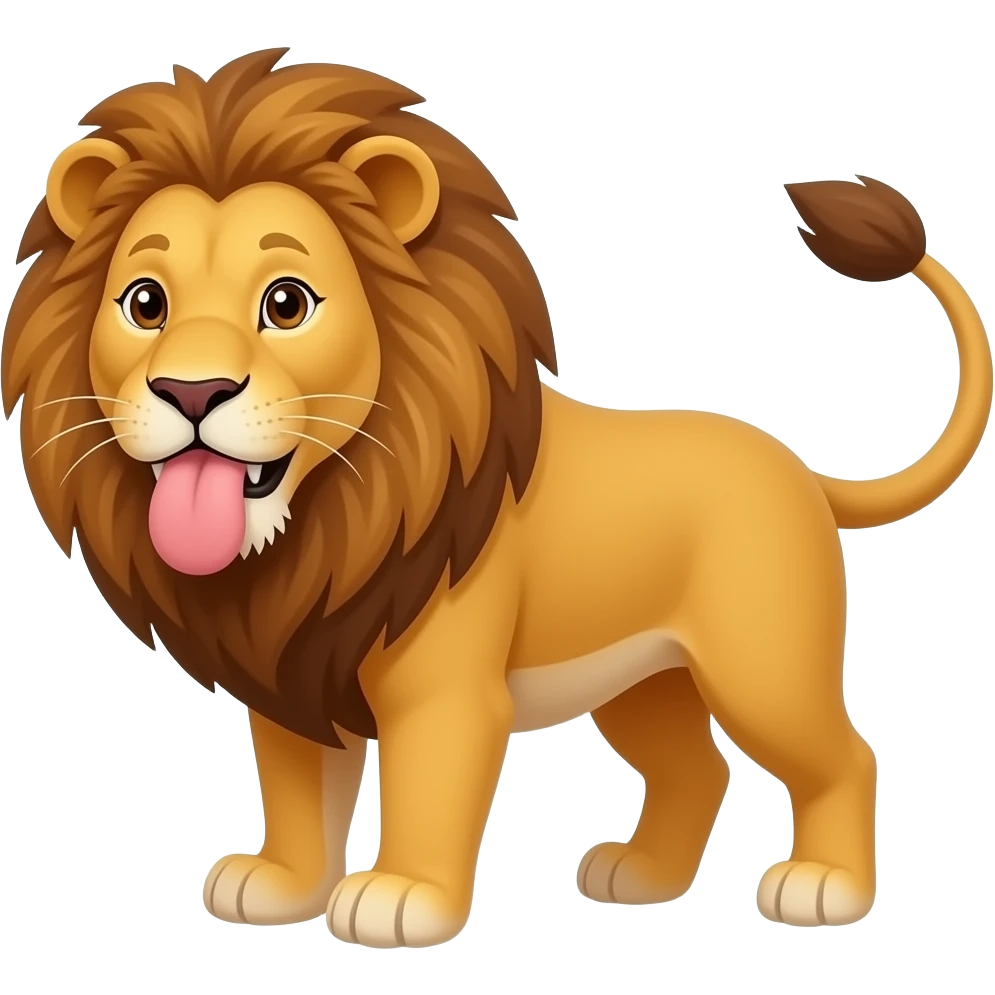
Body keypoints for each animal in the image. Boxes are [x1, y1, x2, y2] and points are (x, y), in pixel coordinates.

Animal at [3, 48, 992, 947]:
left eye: (287, 302)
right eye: (144, 302)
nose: (193, 391)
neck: (326, 522)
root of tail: (799, 469)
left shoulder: (442, 689)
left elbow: (428, 788)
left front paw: (400, 897)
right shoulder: (291, 667)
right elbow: (295, 790)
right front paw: (281, 886)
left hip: (759, 662)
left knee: (843, 757)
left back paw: (824, 885)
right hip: (644, 678)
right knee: (695, 770)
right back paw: (640, 877)